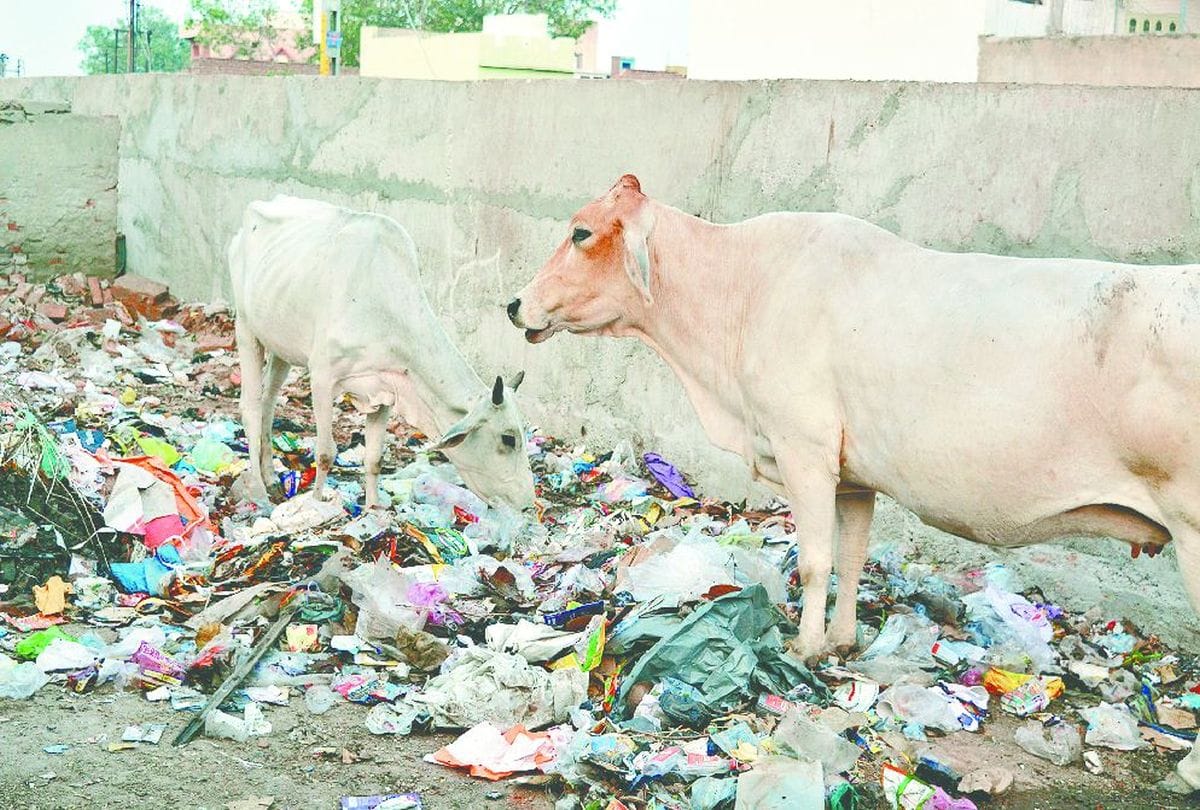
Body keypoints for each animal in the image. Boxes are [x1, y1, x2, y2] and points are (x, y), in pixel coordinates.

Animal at [229, 195, 535, 513]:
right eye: (508, 438)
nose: (528, 504)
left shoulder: (387, 388)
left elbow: (374, 459)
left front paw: (372, 510)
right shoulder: (323, 378)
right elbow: (325, 453)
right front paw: (315, 503)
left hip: (281, 346)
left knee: (268, 401)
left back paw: (270, 476)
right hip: (246, 328)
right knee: (251, 407)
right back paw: (258, 488)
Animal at [508, 175, 1200, 791]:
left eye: (581, 232)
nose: (513, 304)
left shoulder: (804, 449)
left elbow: (816, 560)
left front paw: (806, 648)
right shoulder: (852, 477)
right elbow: (851, 556)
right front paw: (841, 641)